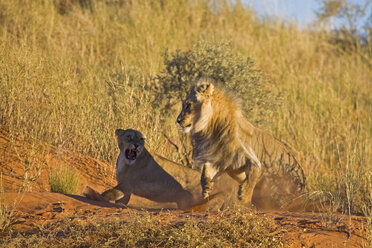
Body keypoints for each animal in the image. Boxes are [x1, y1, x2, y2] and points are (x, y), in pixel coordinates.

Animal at [177, 78, 308, 207]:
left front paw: (244, 196)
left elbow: (254, 170)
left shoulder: (247, 154)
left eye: (188, 105)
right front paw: (206, 188)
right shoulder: (221, 161)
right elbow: (205, 170)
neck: (212, 128)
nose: (178, 120)